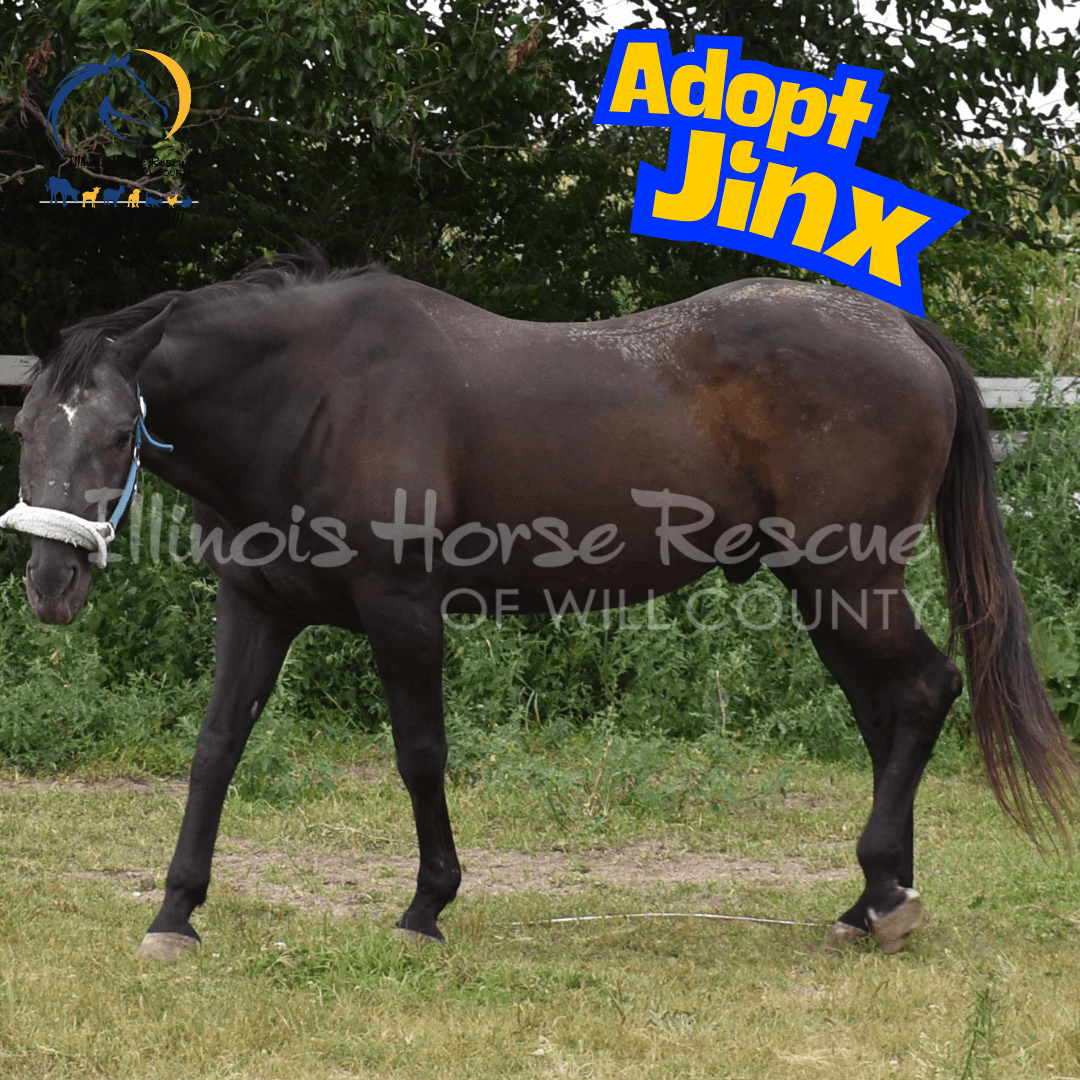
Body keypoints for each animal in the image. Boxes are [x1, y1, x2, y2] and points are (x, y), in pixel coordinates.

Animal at [7, 246, 1078, 960]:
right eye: (25, 430)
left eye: (117, 435)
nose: (50, 586)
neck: (316, 395)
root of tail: (898, 328)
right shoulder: (255, 607)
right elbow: (216, 749)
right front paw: (175, 913)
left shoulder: (402, 608)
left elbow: (419, 753)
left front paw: (426, 908)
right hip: (826, 591)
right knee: (888, 713)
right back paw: (874, 899)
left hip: (850, 579)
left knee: (924, 693)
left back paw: (886, 898)